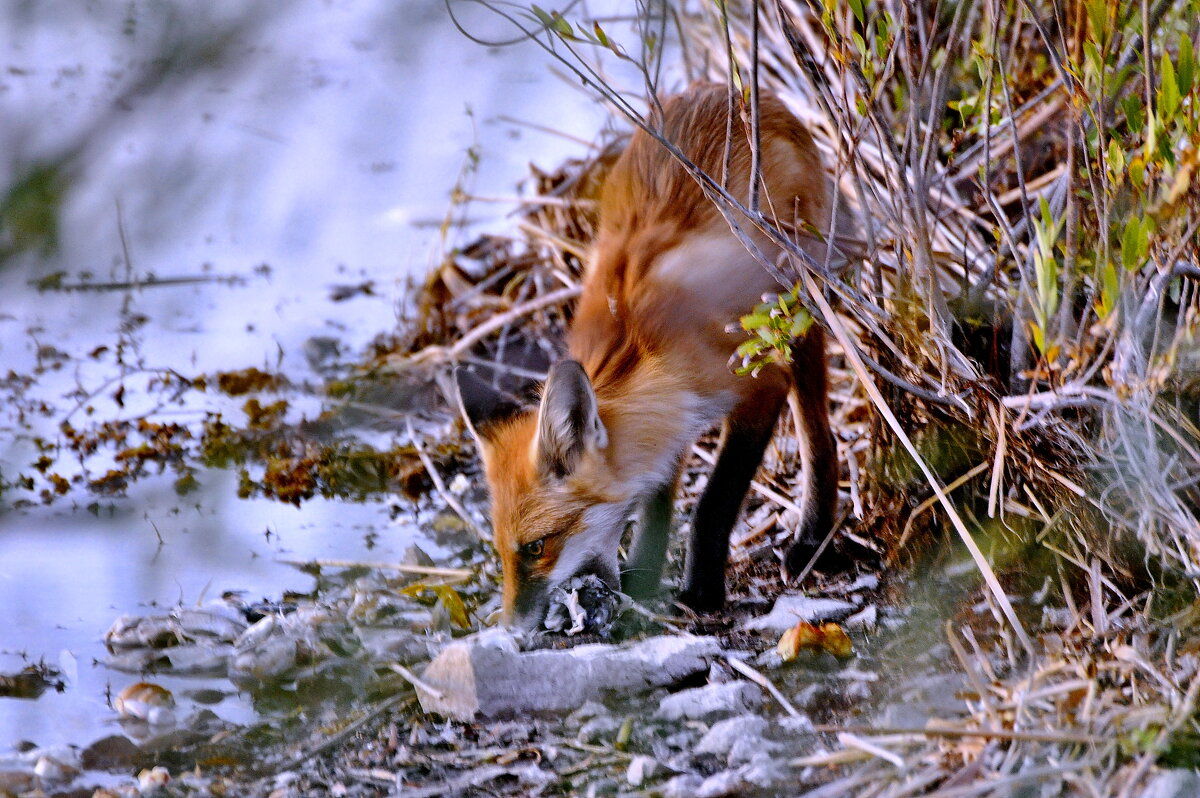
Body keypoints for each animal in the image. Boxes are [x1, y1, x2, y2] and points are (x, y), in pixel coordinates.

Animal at [453, 82, 840, 628]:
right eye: (504, 554)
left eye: (536, 548)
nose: (513, 630)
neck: (641, 350)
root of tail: (734, 89)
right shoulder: (666, 416)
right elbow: (655, 504)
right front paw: (645, 579)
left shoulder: (757, 387)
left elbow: (712, 503)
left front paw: (700, 591)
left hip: (797, 312)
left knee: (819, 434)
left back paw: (812, 539)